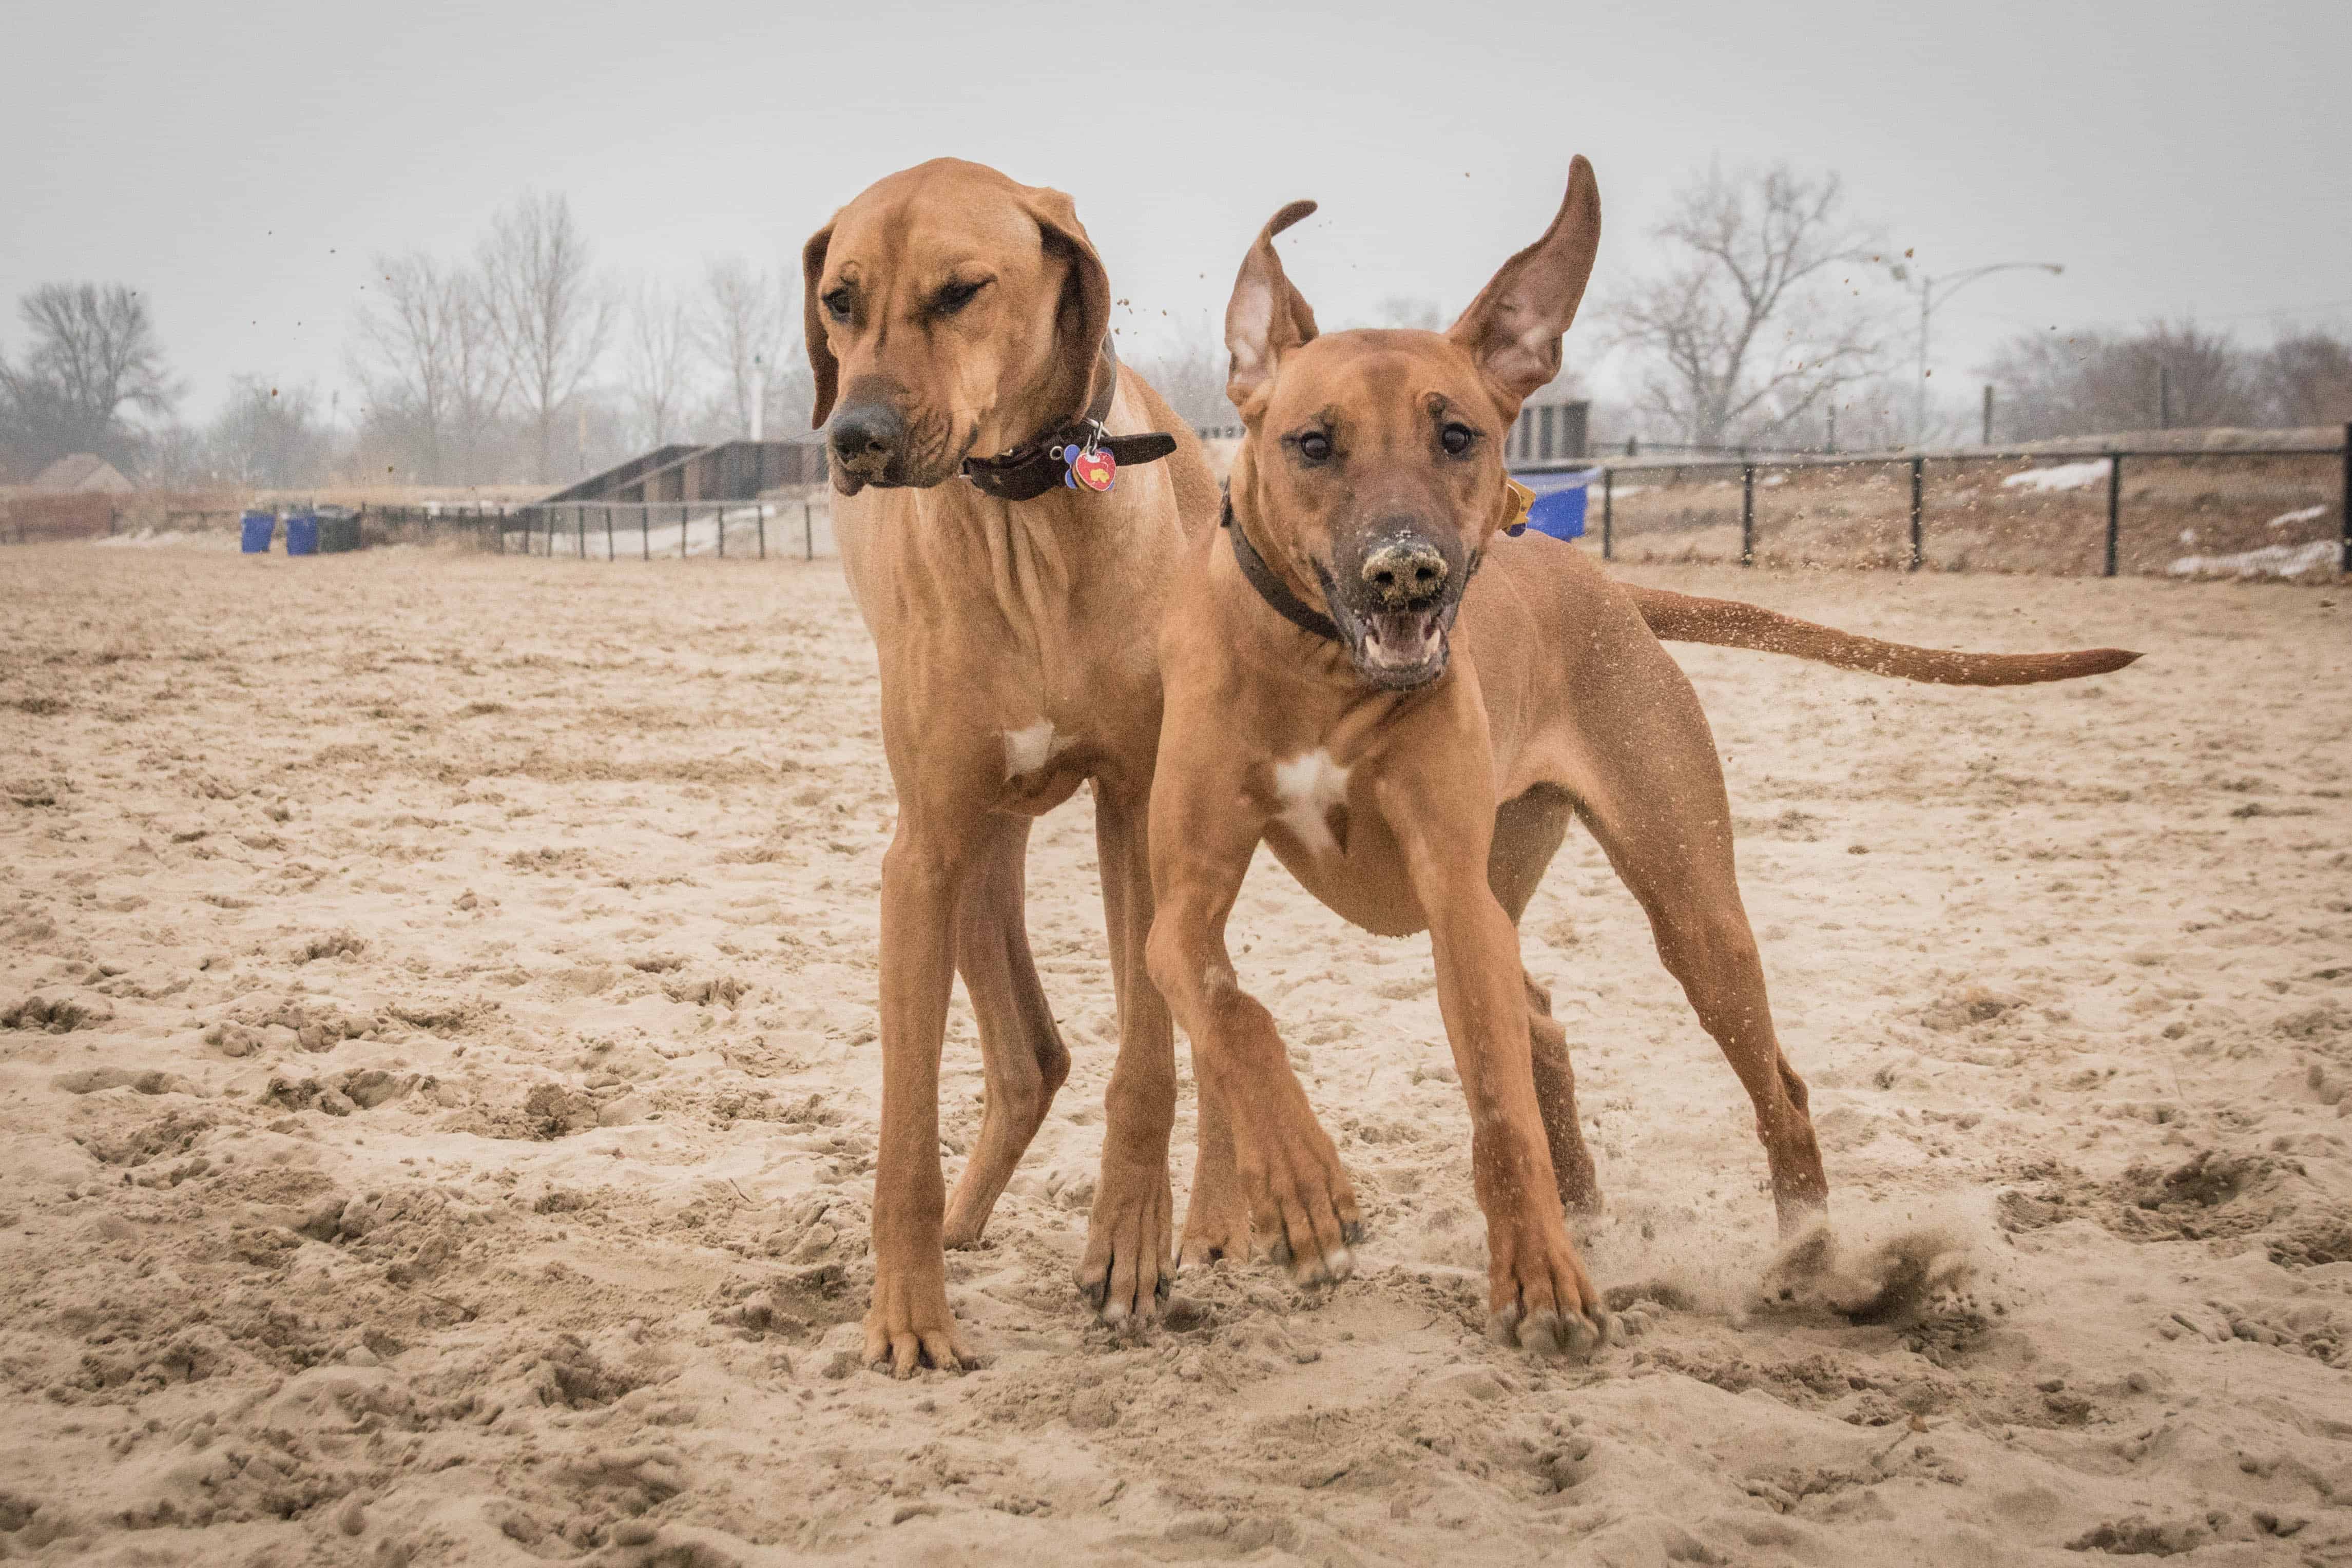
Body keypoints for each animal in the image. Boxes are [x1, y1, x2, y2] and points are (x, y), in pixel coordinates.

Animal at [1138, 162, 2135, 1363]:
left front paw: (1535, 1280)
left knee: (1766, 1085)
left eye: (1457, 436)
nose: (1406, 572)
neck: (1319, 667)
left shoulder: (1448, 884)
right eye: (1312, 443)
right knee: (1539, 1020)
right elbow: (1228, 1004)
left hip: (1683, 905)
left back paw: (1806, 1259)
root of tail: (1606, 583)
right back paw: (1587, 1210)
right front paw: (1298, 1186)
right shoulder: (1183, 901)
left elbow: (1494, 1107)